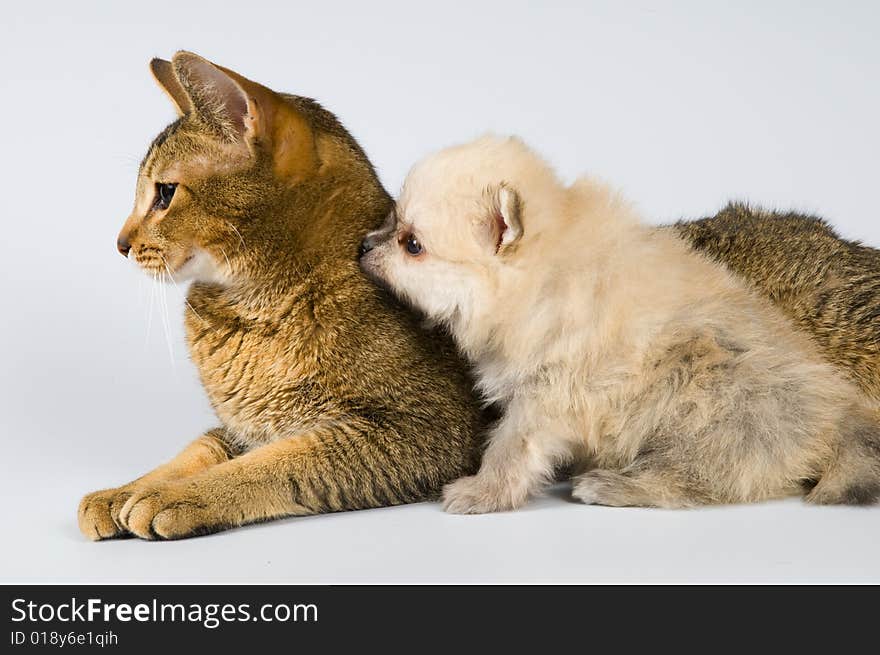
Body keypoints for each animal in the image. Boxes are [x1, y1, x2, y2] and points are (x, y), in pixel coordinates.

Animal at [78, 52, 484, 544]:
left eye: (165, 193)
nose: (120, 244)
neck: (253, 309)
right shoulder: (241, 426)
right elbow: (197, 448)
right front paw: (122, 491)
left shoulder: (427, 431)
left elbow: (278, 462)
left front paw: (176, 496)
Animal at [360, 136, 880, 516]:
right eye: (390, 221)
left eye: (412, 244)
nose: (364, 245)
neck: (542, 274)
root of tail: (839, 416)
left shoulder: (547, 392)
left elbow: (510, 447)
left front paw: (483, 493)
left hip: (706, 395)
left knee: (692, 479)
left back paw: (613, 486)